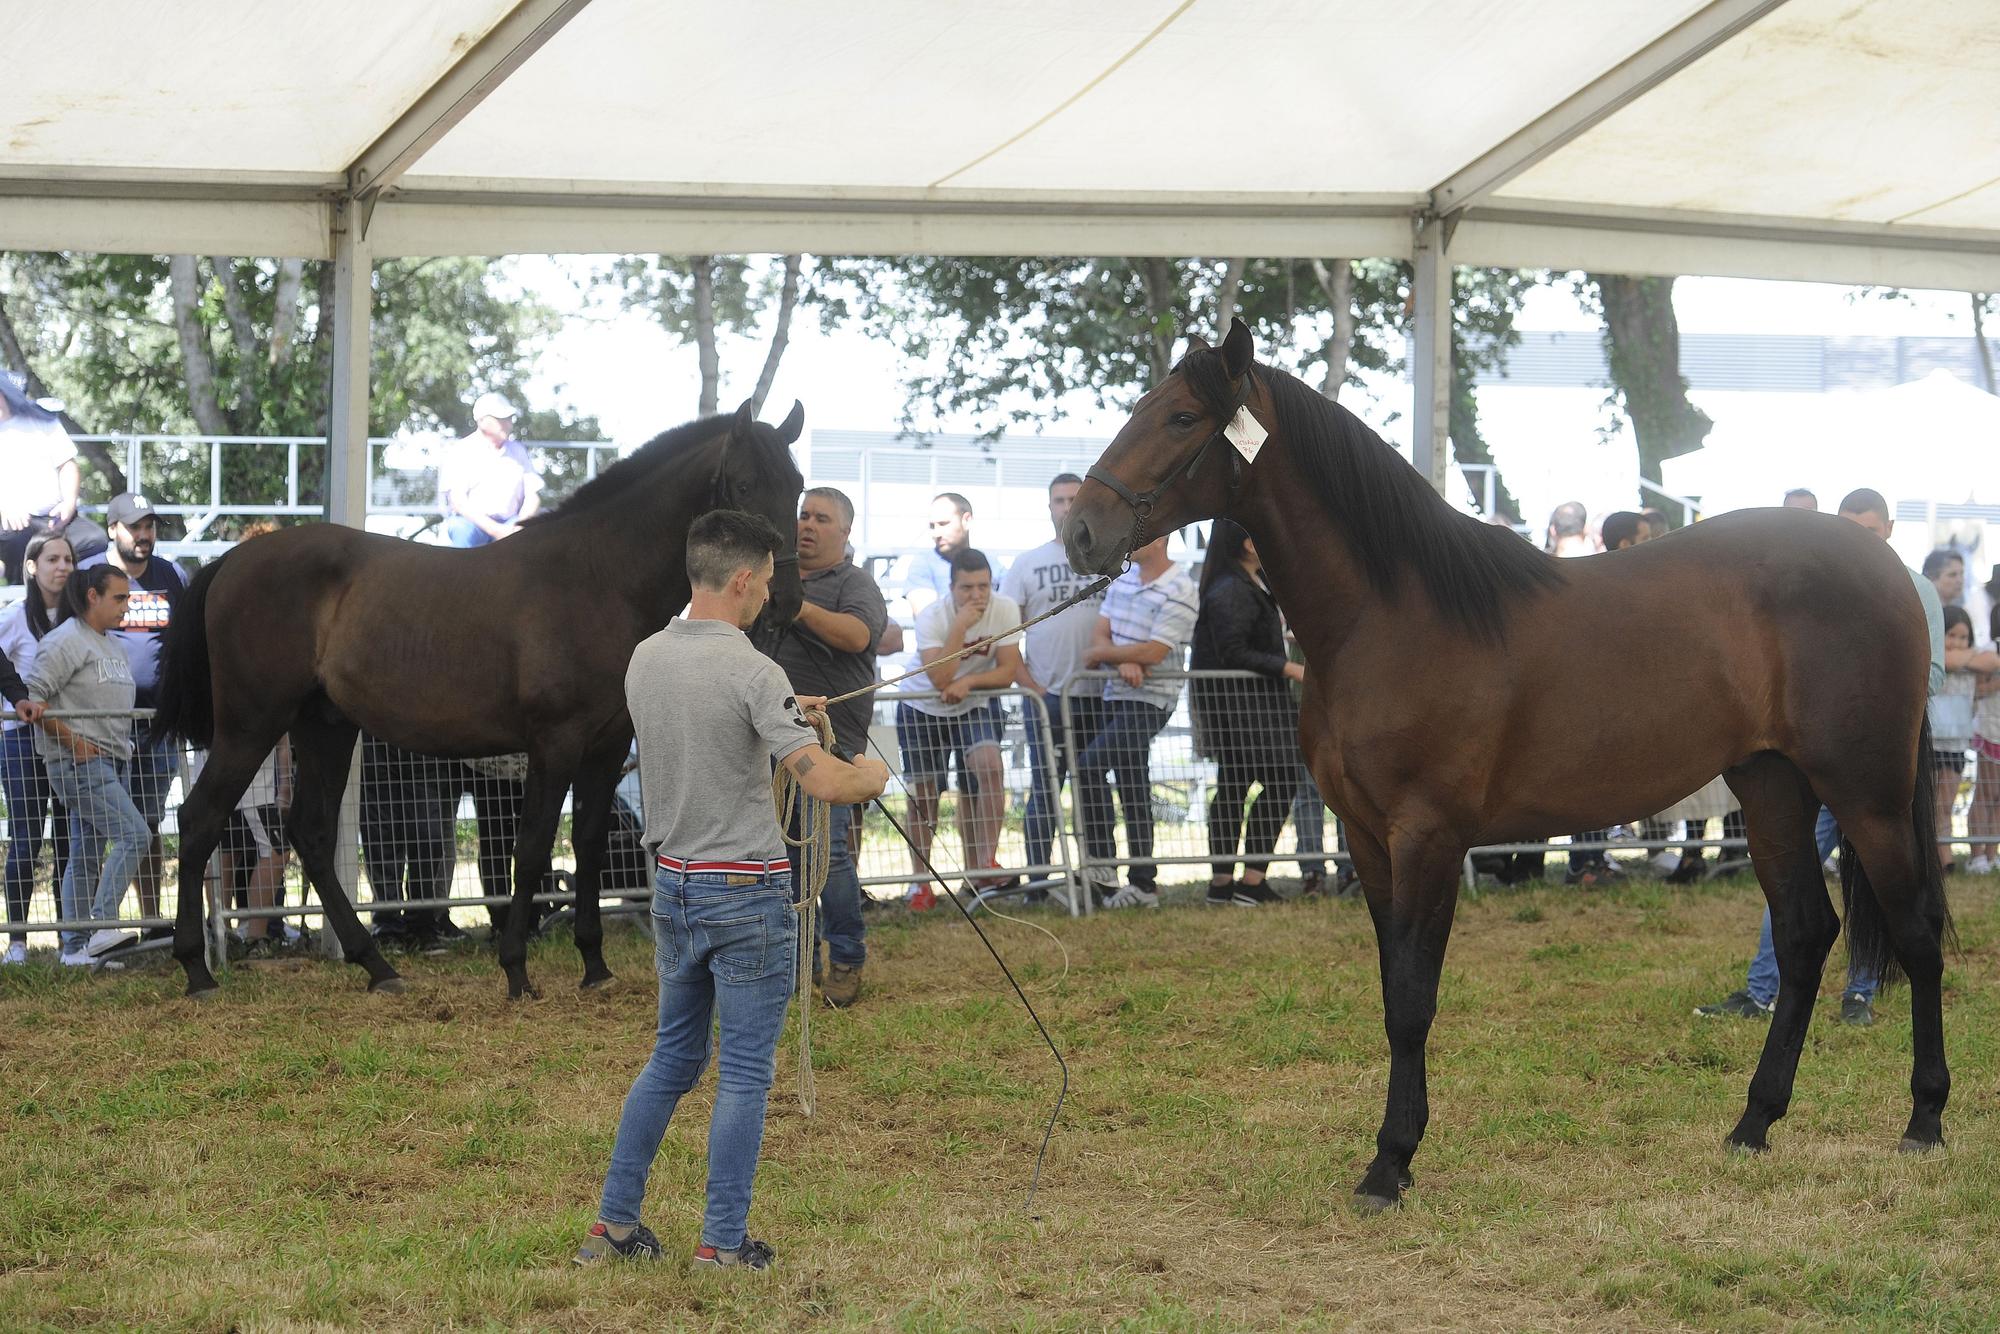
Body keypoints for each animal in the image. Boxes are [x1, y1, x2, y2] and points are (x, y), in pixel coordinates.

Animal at [150, 402, 804, 996]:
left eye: (796, 486)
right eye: (745, 485)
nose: (785, 601)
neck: (598, 580)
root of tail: (233, 560)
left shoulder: (609, 744)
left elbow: (588, 845)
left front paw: (594, 965)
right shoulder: (555, 743)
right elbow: (533, 847)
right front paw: (516, 969)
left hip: (325, 726)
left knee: (309, 832)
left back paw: (377, 967)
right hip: (252, 725)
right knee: (200, 818)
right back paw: (196, 970)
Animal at [1064, 320, 1952, 1208]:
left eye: (1181, 417)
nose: (1080, 531)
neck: (1390, 616)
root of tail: (1892, 573)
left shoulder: (1428, 836)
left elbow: (1412, 1000)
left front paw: (1390, 1163)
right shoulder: (1367, 840)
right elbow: (1392, 987)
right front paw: (1396, 1153)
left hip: (1867, 795)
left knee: (1915, 935)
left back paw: (1924, 1121)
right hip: (1771, 788)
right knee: (1805, 934)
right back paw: (1753, 1124)